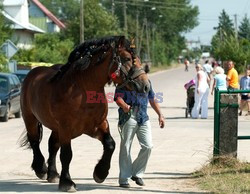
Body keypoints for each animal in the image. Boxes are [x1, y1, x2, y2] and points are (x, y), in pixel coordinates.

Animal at [19, 35, 149, 192]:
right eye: (126, 58)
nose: (145, 86)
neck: (82, 90)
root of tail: (33, 73)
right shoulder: (66, 129)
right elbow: (67, 154)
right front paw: (67, 183)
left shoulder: (98, 125)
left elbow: (110, 144)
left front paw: (100, 173)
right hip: (30, 119)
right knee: (34, 142)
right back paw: (41, 170)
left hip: (55, 128)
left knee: (52, 146)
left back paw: (53, 174)